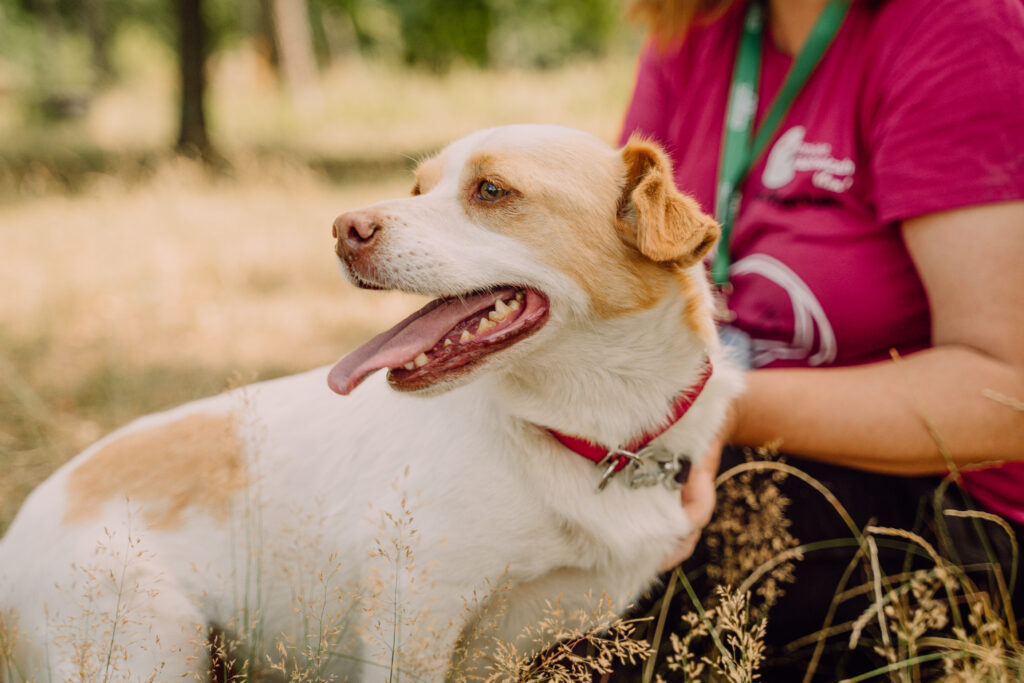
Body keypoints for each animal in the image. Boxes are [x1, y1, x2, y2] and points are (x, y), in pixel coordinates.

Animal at [0, 125, 737, 679]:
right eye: (418, 188)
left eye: (492, 191)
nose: (341, 228)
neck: (583, 431)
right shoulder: (412, 609)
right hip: (149, 647)